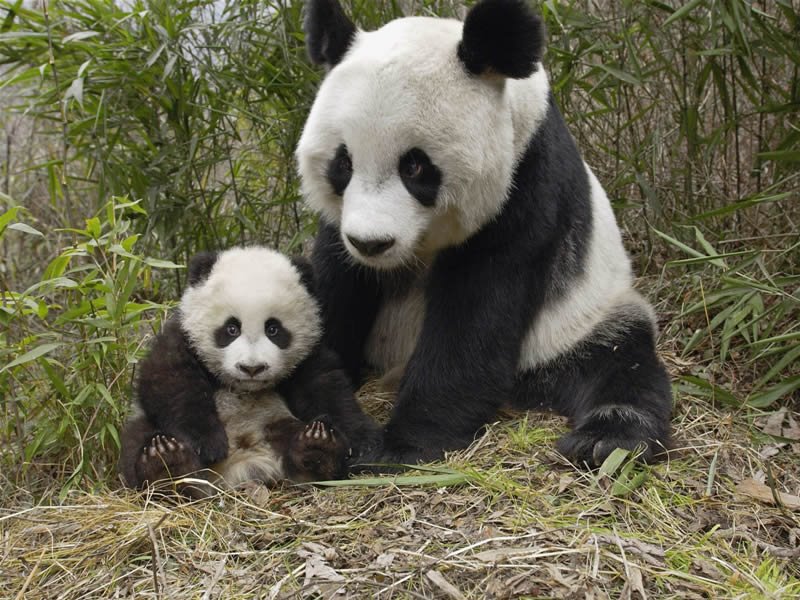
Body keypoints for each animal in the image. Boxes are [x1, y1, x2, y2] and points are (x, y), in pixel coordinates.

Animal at [119, 246, 380, 495]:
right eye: (231, 328)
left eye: (273, 329)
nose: (252, 368)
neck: (243, 388)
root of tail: (240, 468)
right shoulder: (182, 337)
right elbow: (169, 381)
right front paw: (208, 443)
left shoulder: (308, 355)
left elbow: (327, 389)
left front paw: (362, 443)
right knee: (137, 439)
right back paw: (166, 465)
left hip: (275, 422)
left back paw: (317, 449)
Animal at [296, 0, 673, 468]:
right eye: (343, 164)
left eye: (414, 166)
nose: (371, 243)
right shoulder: (340, 229)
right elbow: (334, 288)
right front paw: (326, 424)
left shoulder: (525, 186)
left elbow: (476, 313)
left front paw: (401, 445)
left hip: (580, 319)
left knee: (621, 361)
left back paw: (606, 439)